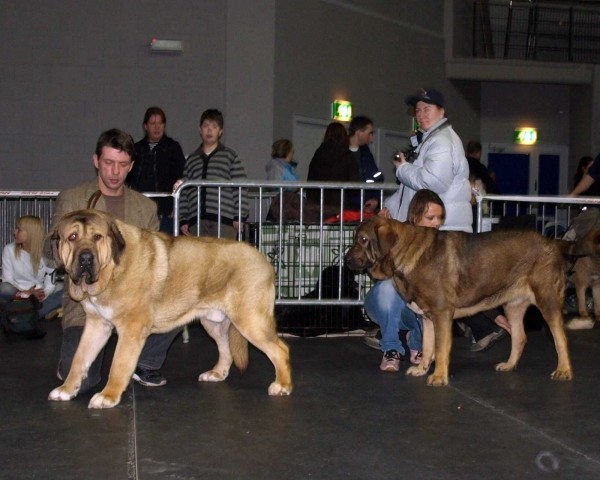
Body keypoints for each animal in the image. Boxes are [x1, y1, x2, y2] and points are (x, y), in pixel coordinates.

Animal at [46, 210, 290, 408]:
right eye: (72, 237)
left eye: (97, 237)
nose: (86, 258)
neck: (112, 269)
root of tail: (262, 259)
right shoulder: (97, 325)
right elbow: (79, 359)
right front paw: (66, 390)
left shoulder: (131, 329)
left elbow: (118, 365)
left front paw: (108, 396)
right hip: (214, 322)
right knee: (226, 350)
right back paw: (216, 374)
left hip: (251, 321)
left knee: (281, 350)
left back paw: (283, 386)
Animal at [344, 216, 576, 388]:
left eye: (363, 239)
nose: (346, 260)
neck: (405, 253)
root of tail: (552, 244)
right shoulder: (427, 317)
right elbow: (427, 346)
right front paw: (421, 369)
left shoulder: (441, 314)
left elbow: (440, 348)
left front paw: (439, 377)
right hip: (513, 306)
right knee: (519, 337)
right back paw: (509, 365)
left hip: (547, 300)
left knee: (561, 338)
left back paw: (563, 370)